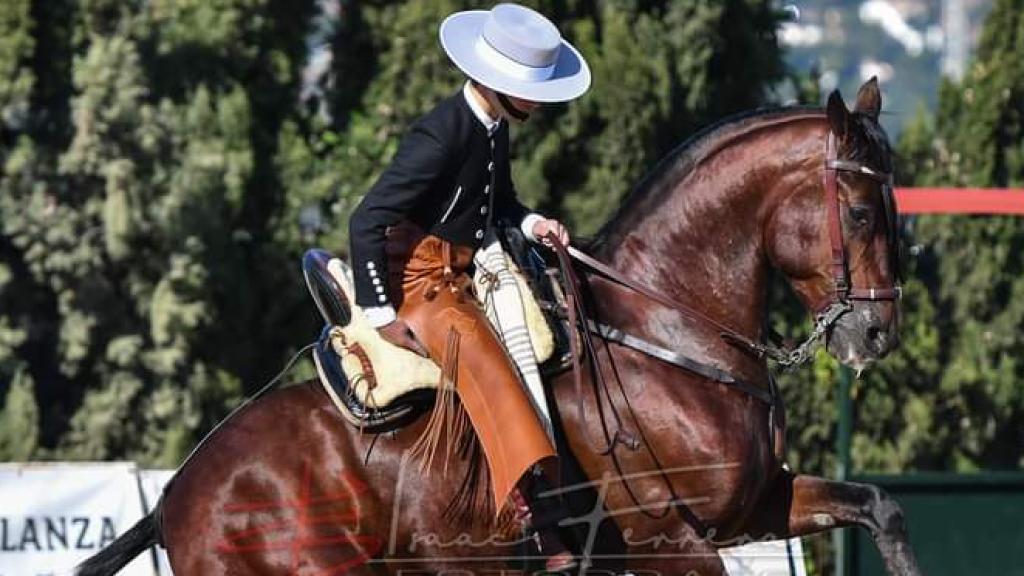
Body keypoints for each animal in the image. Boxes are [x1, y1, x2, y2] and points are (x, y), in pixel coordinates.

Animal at [77, 78, 920, 575]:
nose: (877, 335)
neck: (669, 334)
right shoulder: (672, 544)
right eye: (857, 211)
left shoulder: (753, 507)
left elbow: (879, 506)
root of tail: (176, 495)